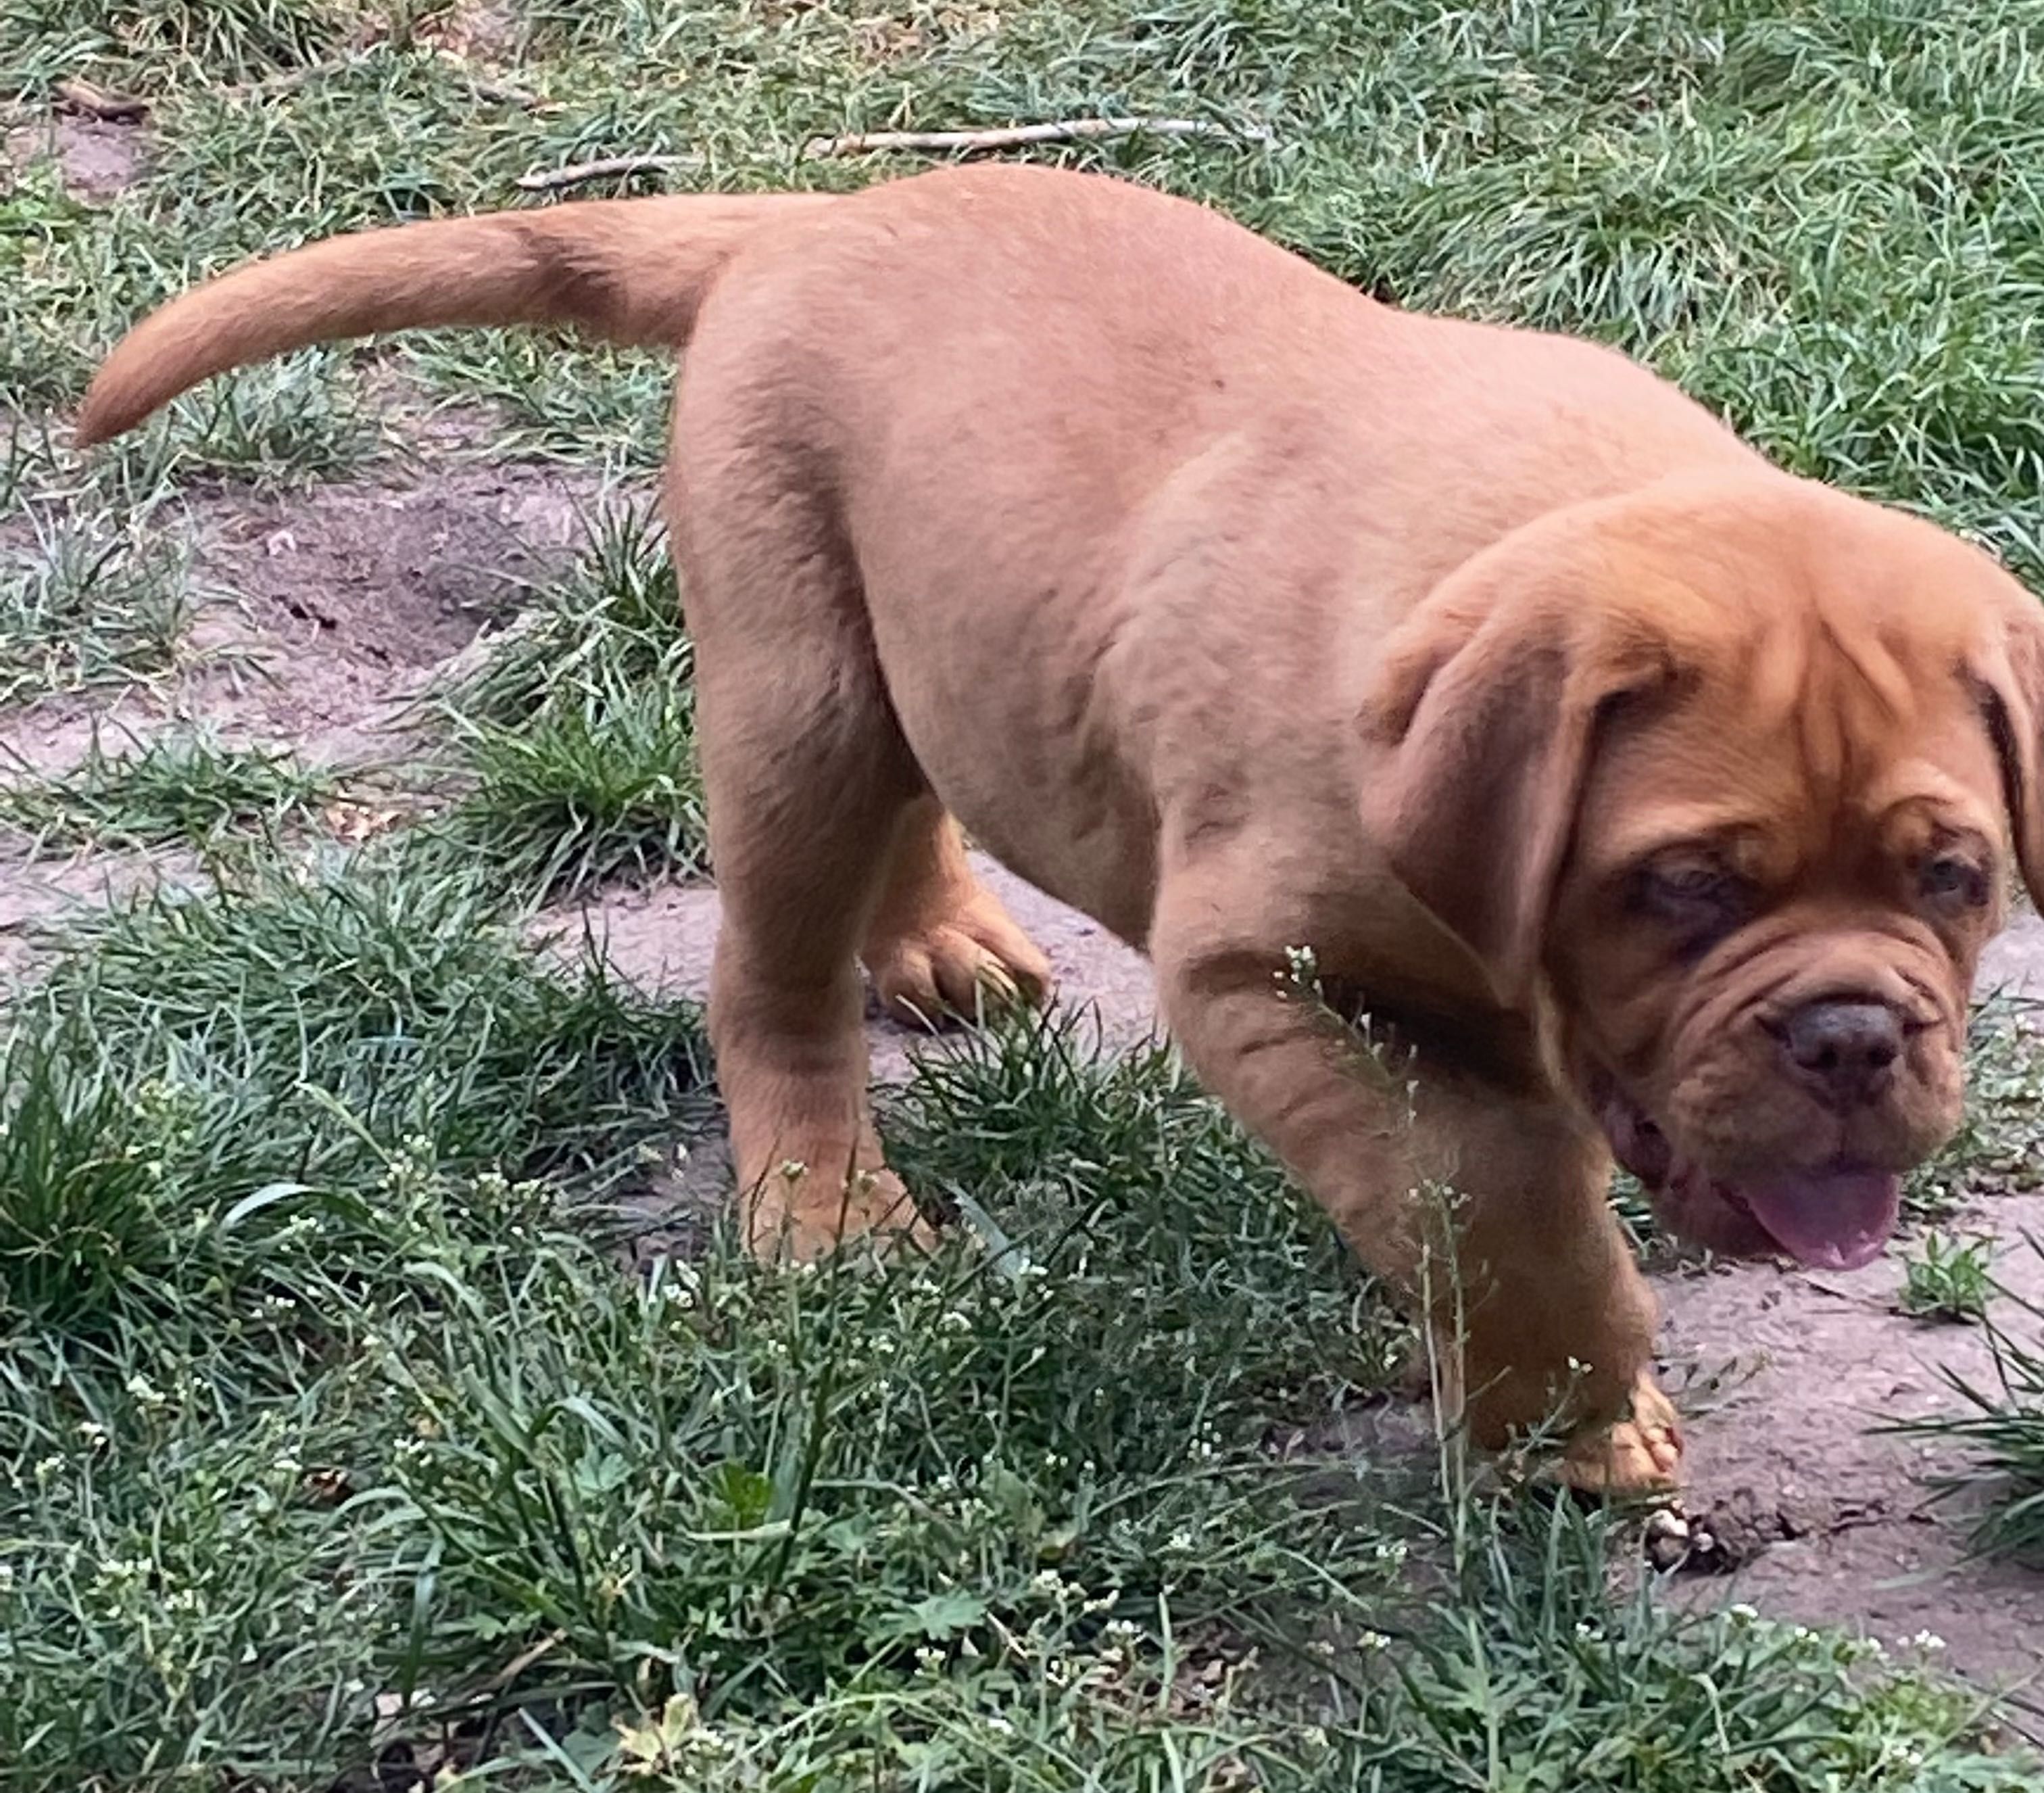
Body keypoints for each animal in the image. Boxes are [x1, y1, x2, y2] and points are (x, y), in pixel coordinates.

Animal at [75, 167, 2044, 1488]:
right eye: (1686, 887)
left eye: (1953, 880)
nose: (1854, 1037)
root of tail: (811, 217)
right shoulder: (1260, 968)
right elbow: (1486, 1183)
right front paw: (1566, 1397)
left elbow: (1498, 1168)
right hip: (791, 690)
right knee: (771, 979)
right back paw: (828, 1211)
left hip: (917, 648)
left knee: (913, 791)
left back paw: (937, 938)